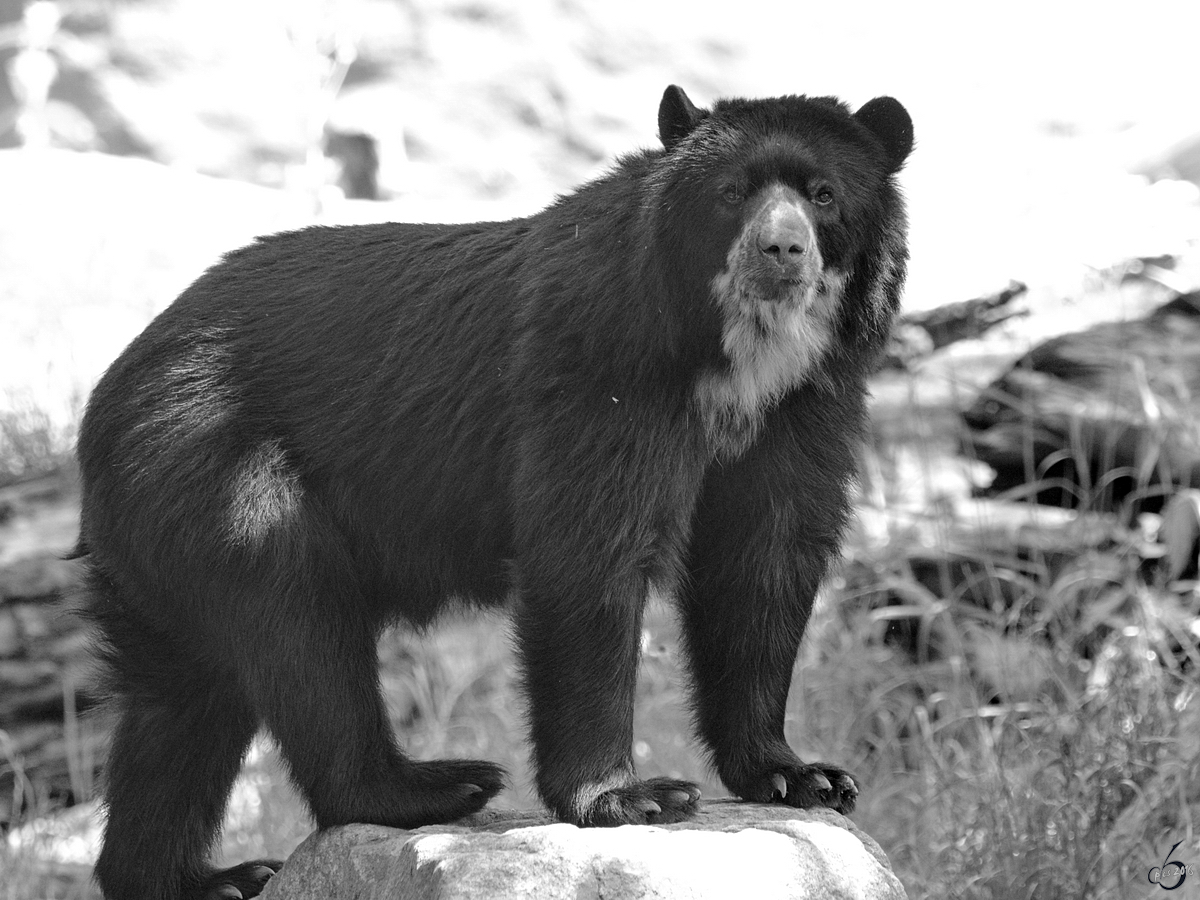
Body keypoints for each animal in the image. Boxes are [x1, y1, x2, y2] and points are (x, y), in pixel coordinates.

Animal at [75, 86, 912, 900]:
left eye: (825, 195)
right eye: (732, 193)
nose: (782, 251)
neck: (741, 360)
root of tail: (109, 394)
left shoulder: (805, 408)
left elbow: (764, 563)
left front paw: (804, 776)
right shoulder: (601, 367)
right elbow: (588, 553)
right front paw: (632, 797)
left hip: (163, 530)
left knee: (181, 701)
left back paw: (201, 878)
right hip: (218, 469)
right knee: (296, 624)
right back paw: (430, 787)